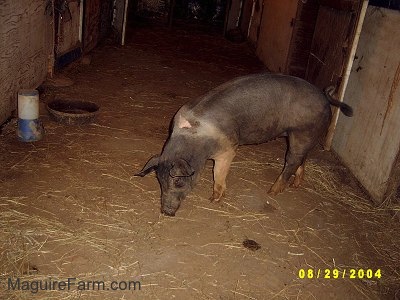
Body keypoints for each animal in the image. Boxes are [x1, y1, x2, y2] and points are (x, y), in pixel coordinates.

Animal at [135, 73, 354, 216]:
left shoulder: (228, 148)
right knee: (303, 158)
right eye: (160, 181)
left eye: (179, 182)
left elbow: (218, 174)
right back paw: (295, 185)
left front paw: (213, 199)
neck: (195, 141)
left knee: (292, 160)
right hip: (304, 135)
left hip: (303, 132)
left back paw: (271, 191)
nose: (166, 212)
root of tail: (324, 96)